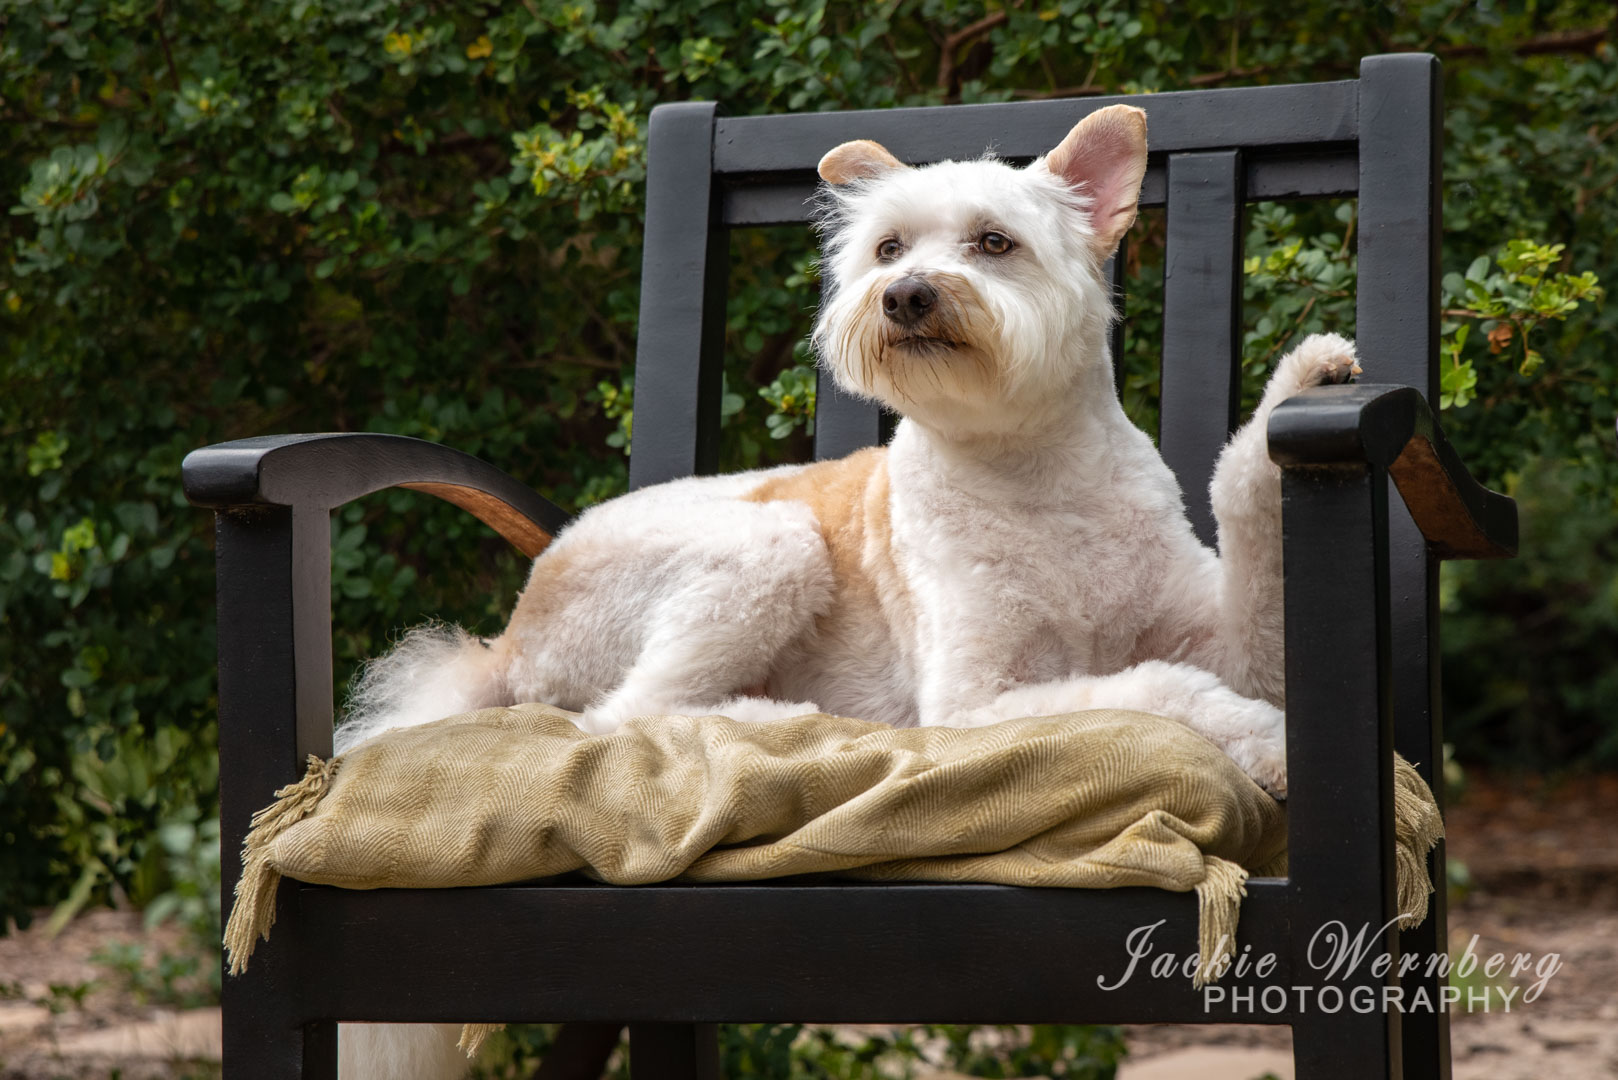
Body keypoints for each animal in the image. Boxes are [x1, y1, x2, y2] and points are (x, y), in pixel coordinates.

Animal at [333, 104, 1359, 1077]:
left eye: (995, 242)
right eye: (889, 248)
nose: (905, 295)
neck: (1033, 475)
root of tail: (509, 636)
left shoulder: (1233, 639)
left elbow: (1243, 526)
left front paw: (1300, 379)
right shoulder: (975, 705)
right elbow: (1162, 690)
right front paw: (1272, 747)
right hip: (769, 542)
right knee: (628, 716)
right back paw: (776, 719)